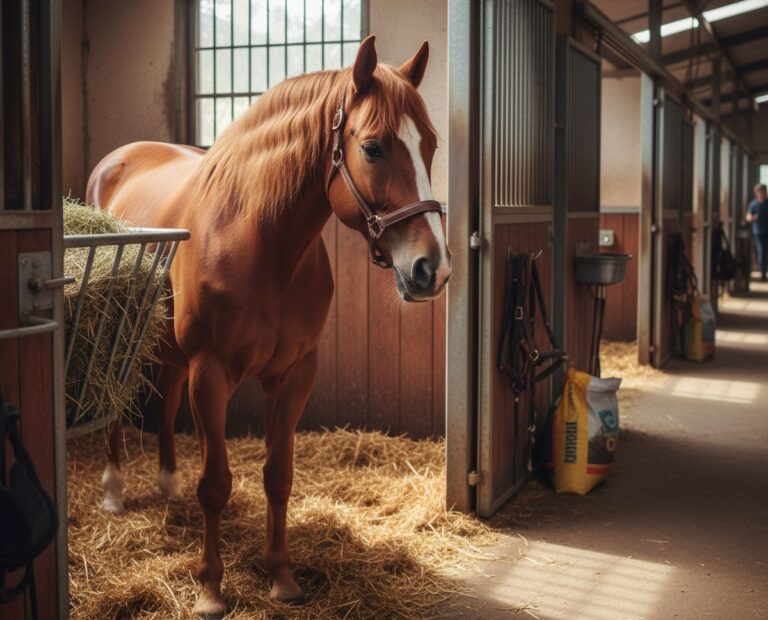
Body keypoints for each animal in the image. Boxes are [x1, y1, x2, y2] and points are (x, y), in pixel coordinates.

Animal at [85, 35, 451, 616]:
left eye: (431, 145)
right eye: (373, 148)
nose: (431, 270)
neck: (258, 240)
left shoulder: (293, 375)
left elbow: (279, 477)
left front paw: (281, 576)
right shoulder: (211, 374)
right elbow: (216, 484)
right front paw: (210, 589)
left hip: (170, 352)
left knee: (164, 402)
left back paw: (167, 486)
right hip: (120, 341)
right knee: (118, 410)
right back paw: (115, 490)